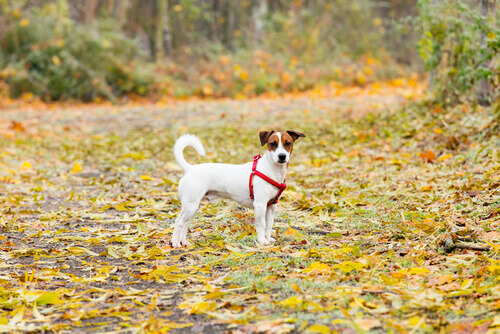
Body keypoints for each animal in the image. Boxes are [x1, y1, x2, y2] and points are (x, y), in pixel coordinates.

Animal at [171, 130, 304, 248]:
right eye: (272, 143)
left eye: (288, 143)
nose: (282, 156)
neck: (271, 169)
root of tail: (189, 169)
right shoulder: (260, 205)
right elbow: (261, 225)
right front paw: (262, 241)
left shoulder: (271, 206)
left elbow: (268, 225)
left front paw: (267, 238)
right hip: (190, 206)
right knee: (179, 223)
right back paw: (175, 243)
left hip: (193, 208)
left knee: (185, 224)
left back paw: (184, 242)